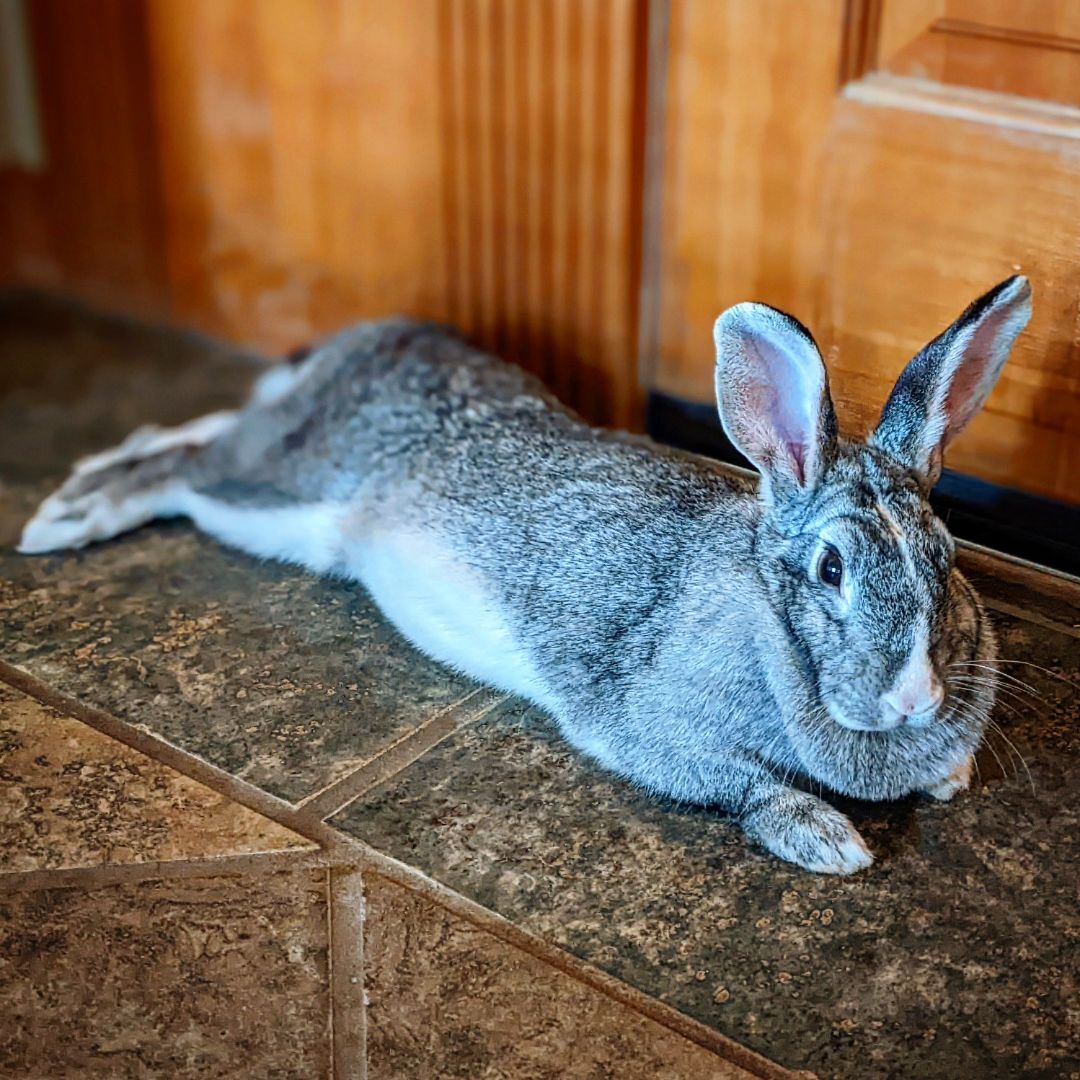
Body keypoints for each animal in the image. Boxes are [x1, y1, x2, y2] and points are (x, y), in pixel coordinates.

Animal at [18, 275, 1032, 873]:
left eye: (946, 558)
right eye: (829, 567)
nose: (913, 699)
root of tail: (360, 344)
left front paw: (949, 778)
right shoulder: (641, 726)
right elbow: (743, 787)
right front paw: (831, 841)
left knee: (189, 432)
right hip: (278, 496)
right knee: (180, 464)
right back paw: (61, 518)